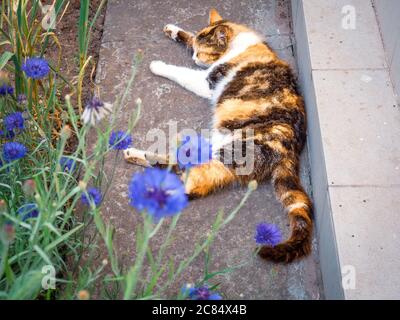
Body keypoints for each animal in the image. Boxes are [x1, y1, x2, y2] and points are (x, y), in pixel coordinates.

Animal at [125, 8, 312, 262]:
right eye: (196, 51)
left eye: (202, 53)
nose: (195, 58)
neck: (240, 44)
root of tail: (291, 150)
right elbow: (191, 34)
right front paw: (173, 30)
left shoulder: (206, 81)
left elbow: (181, 72)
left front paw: (158, 65)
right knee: (187, 173)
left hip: (231, 150)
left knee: (188, 181)